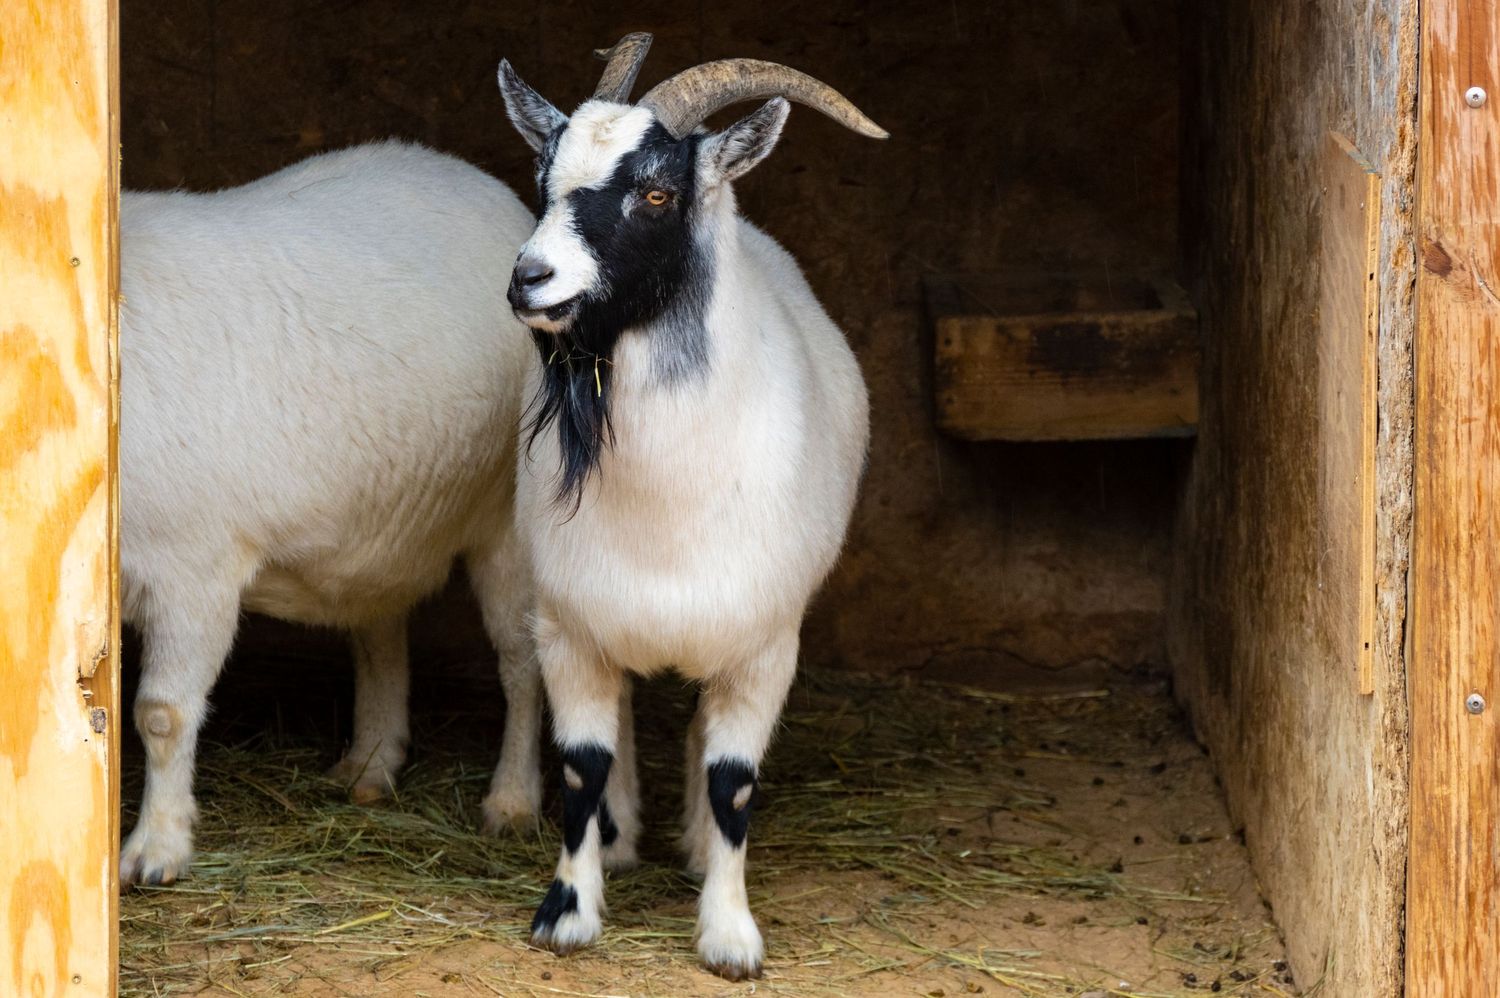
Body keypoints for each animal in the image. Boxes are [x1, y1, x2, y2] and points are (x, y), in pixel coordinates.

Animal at [119, 141, 543, 886]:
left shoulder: (192, 570)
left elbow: (162, 714)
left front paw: (156, 850)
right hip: (383, 516)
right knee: (379, 627)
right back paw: (370, 764)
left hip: (509, 515)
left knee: (521, 658)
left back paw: (512, 801)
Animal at [498, 33, 885, 979]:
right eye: (543, 179)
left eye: (655, 193)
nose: (530, 279)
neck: (667, 514)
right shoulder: (572, 627)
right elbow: (582, 765)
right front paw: (569, 909)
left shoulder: (764, 643)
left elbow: (732, 780)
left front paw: (730, 934)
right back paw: (623, 835)